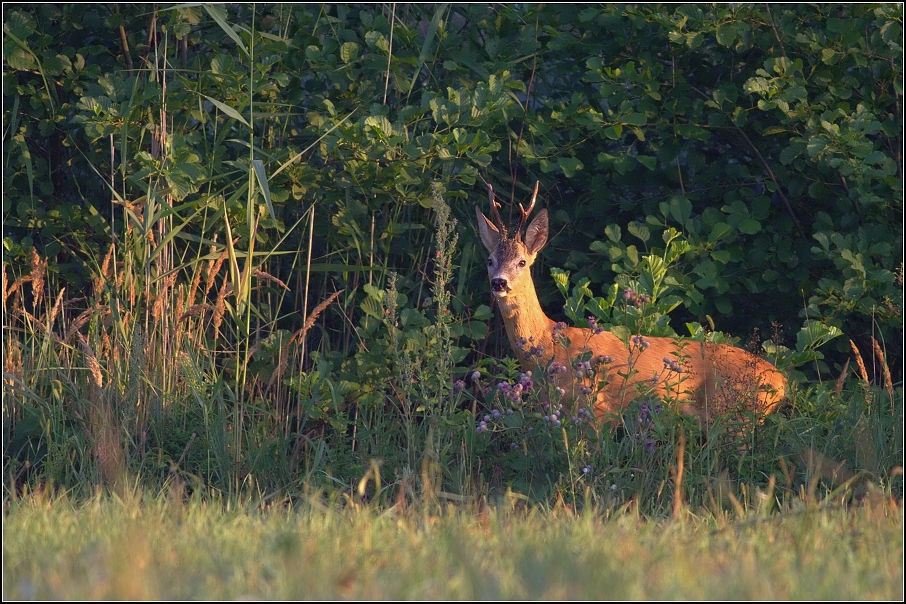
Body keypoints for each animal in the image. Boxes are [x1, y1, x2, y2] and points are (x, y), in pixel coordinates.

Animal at [474, 182, 784, 422]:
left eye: (522, 262)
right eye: (489, 260)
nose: (499, 283)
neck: (549, 342)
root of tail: (781, 381)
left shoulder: (596, 407)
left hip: (733, 414)